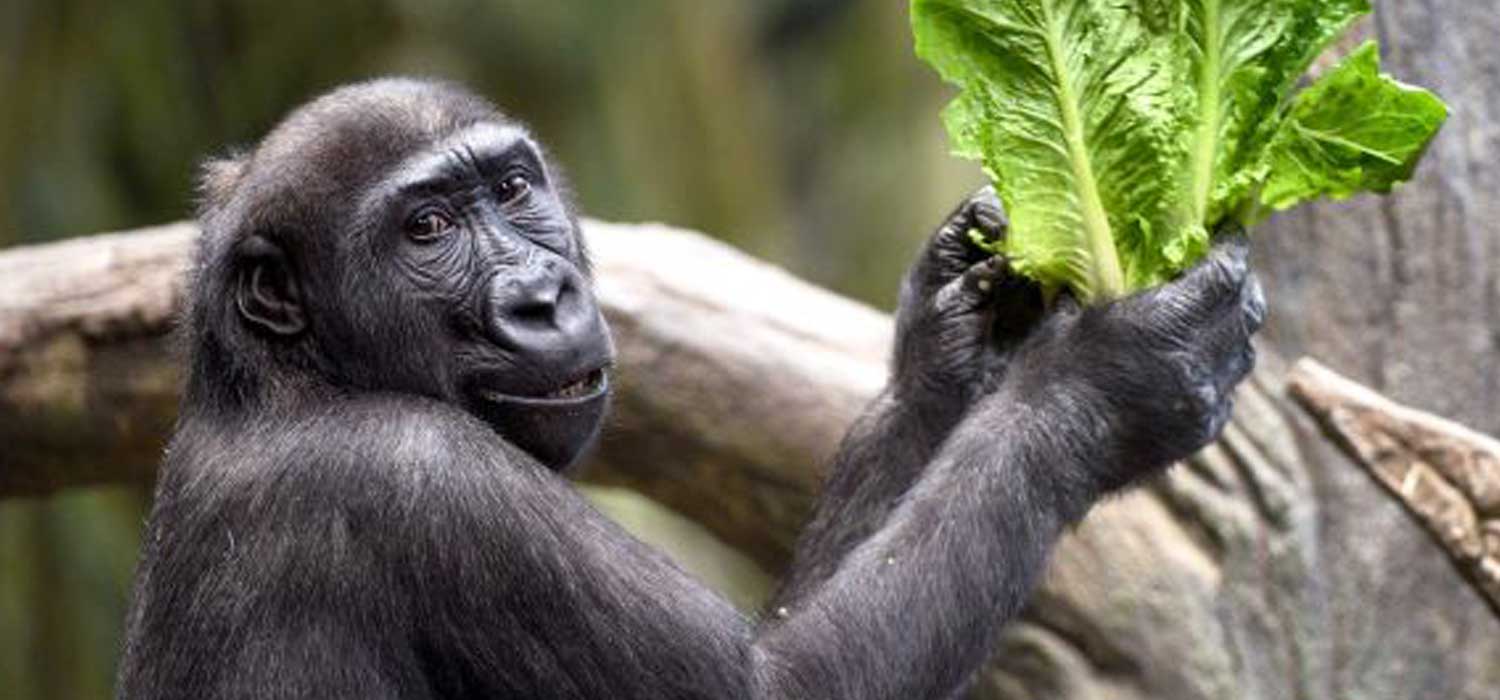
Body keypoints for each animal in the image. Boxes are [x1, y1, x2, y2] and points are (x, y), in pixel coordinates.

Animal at [120, 79, 1266, 698]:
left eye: (513, 190)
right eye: (428, 229)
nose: (541, 295)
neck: (294, 378)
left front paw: (951, 333)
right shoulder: (423, 481)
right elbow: (779, 681)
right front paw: (1111, 378)